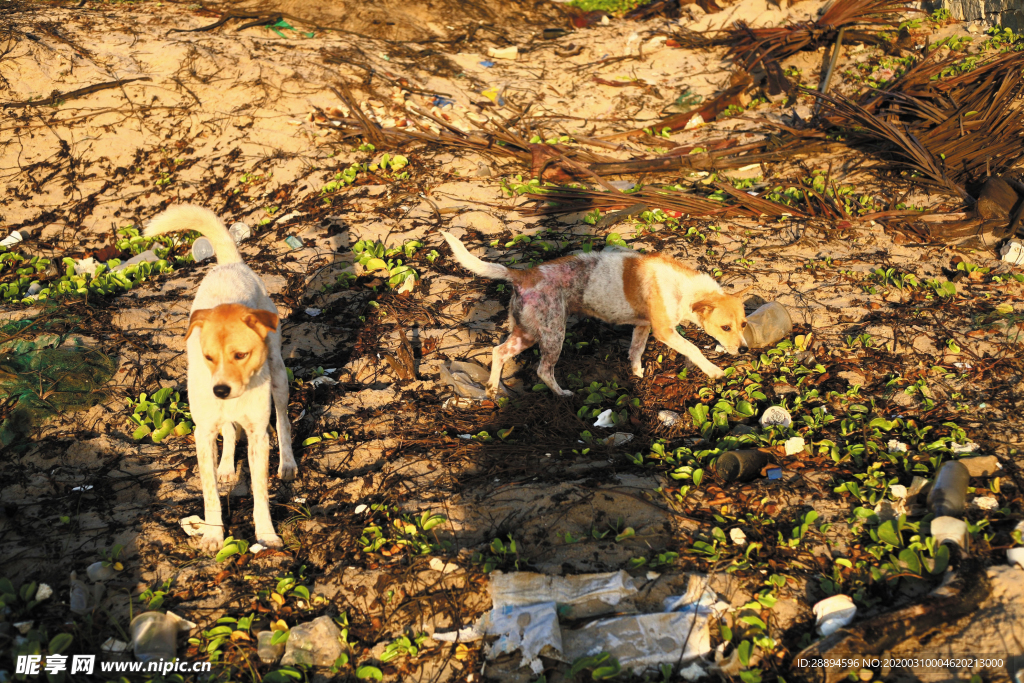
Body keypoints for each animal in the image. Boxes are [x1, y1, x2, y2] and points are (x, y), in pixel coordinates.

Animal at [145, 205, 296, 552]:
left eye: (241, 355)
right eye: (209, 357)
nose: (221, 390)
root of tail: (229, 264)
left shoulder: (257, 437)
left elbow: (260, 493)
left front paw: (266, 535)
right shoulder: (203, 435)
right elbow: (210, 493)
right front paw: (213, 535)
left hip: (279, 375)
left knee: (282, 419)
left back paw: (287, 463)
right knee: (227, 430)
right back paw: (226, 464)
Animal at [444, 232, 749, 397]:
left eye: (744, 324)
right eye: (725, 328)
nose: (745, 350)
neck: (684, 288)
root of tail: (523, 274)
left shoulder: (643, 327)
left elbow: (636, 352)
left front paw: (637, 376)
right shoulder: (664, 331)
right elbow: (694, 350)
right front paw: (714, 371)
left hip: (527, 332)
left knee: (499, 352)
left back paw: (492, 390)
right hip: (553, 334)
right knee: (543, 369)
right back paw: (561, 394)